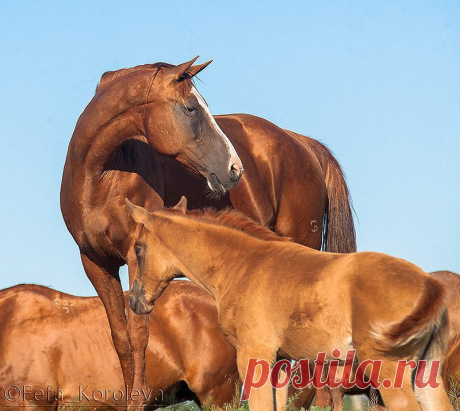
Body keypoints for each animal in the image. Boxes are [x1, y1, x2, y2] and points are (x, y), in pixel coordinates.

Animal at [126, 198, 452, 410]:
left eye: (138, 249)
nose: (134, 300)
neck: (242, 265)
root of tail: (428, 284)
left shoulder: (252, 356)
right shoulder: (280, 364)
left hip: (388, 372)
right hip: (426, 375)